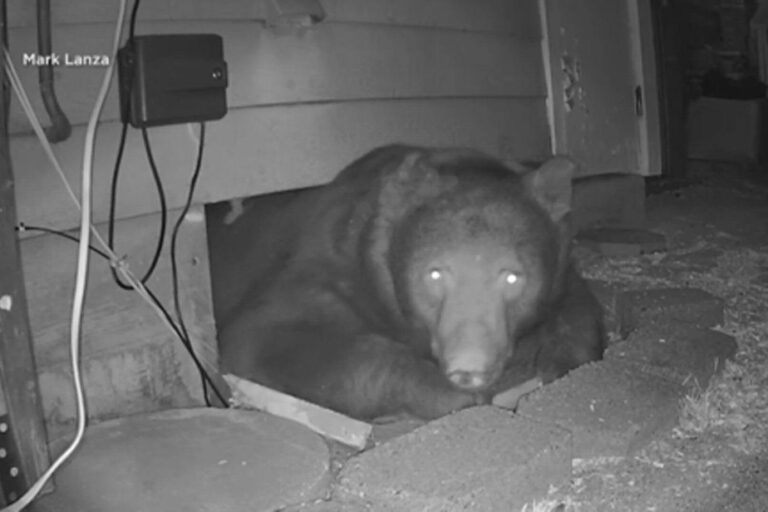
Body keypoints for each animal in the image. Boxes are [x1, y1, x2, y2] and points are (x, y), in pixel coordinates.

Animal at [210, 144, 608, 420]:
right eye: (434, 273)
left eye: (512, 277)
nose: (469, 369)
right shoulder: (325, 263)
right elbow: (264, 335)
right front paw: (448, 393)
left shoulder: (561, 273)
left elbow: (579, 309)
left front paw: (557, 363)